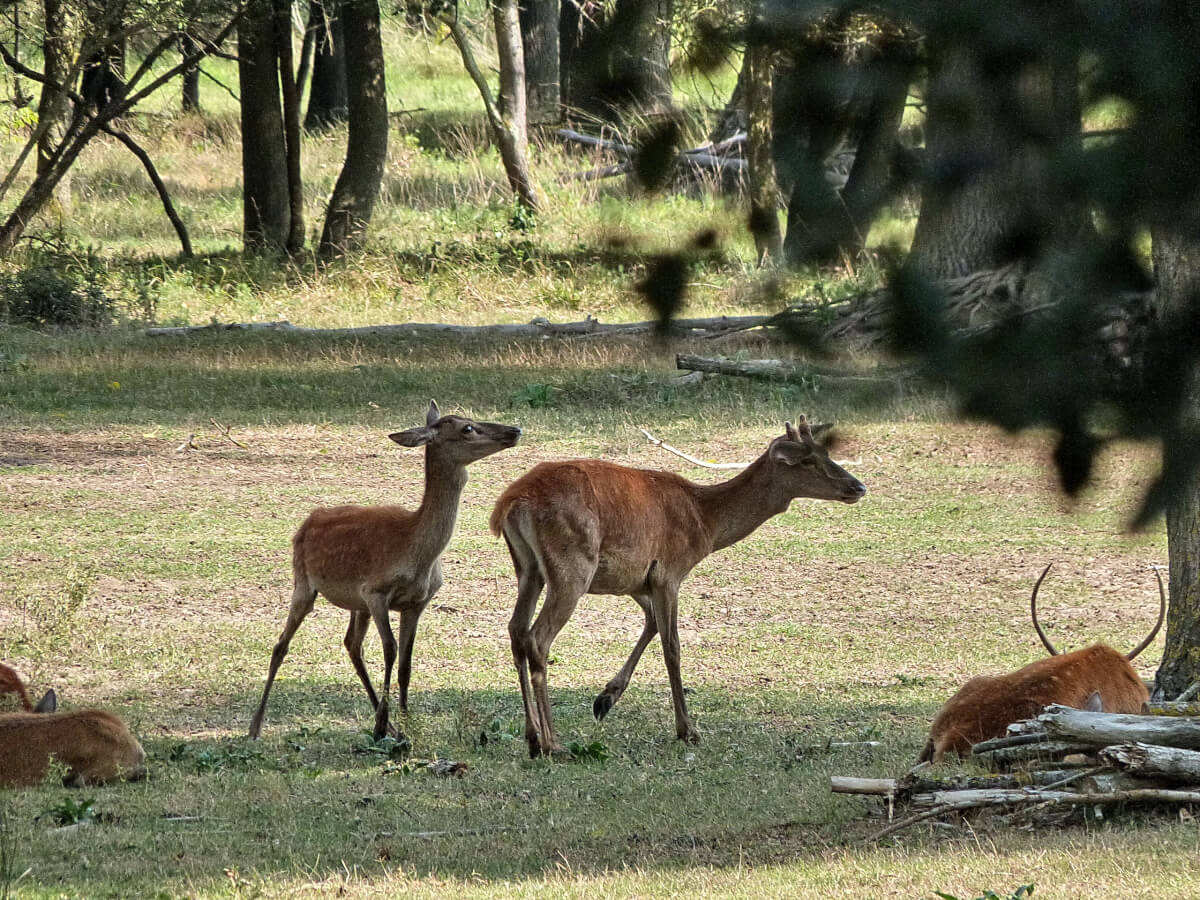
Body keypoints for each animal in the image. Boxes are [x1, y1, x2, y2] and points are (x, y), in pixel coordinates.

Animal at [248, 400, 520, 739]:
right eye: (467, 428)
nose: (515, 429)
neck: (416, 551)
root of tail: (306, 523)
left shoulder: (417, 602)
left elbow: (406, 662)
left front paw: (404, 721)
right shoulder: (375, 592)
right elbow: (390, 649)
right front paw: (383, 724)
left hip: (356, 604)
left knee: (352, 645)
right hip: (304, 583)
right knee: (281, 645)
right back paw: (255, 726)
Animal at [492, 420, 868, 758]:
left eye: (825, 451)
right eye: (807, 460)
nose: (858, 487)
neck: (705, 521)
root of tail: (509, 504)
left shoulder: (636, 579)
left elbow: (651, 625)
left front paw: (605, 699)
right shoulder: (669, 571)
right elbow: (672, 646)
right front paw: (688, 729)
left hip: (528, 568)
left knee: (516, 631)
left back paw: (532, 737)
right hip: (573, 567)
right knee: (538, 637)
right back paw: (552, 743)